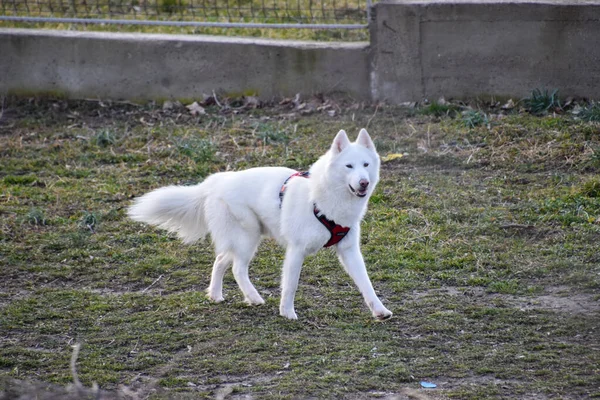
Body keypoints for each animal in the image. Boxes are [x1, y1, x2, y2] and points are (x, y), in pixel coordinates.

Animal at [127, 130, 392, 320]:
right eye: (349, 166)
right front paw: (287, 313)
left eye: (366, 165)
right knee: (236, 268)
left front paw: (379, 310)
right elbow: (291, 285)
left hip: (243, 238)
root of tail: (215, 181)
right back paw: (253, 298)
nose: (363, 183)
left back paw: (216, 295)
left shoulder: (349, 251)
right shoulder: (296, 251)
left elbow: (366, 283)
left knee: (220, 260)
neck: (325, 199)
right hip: (247, 237)